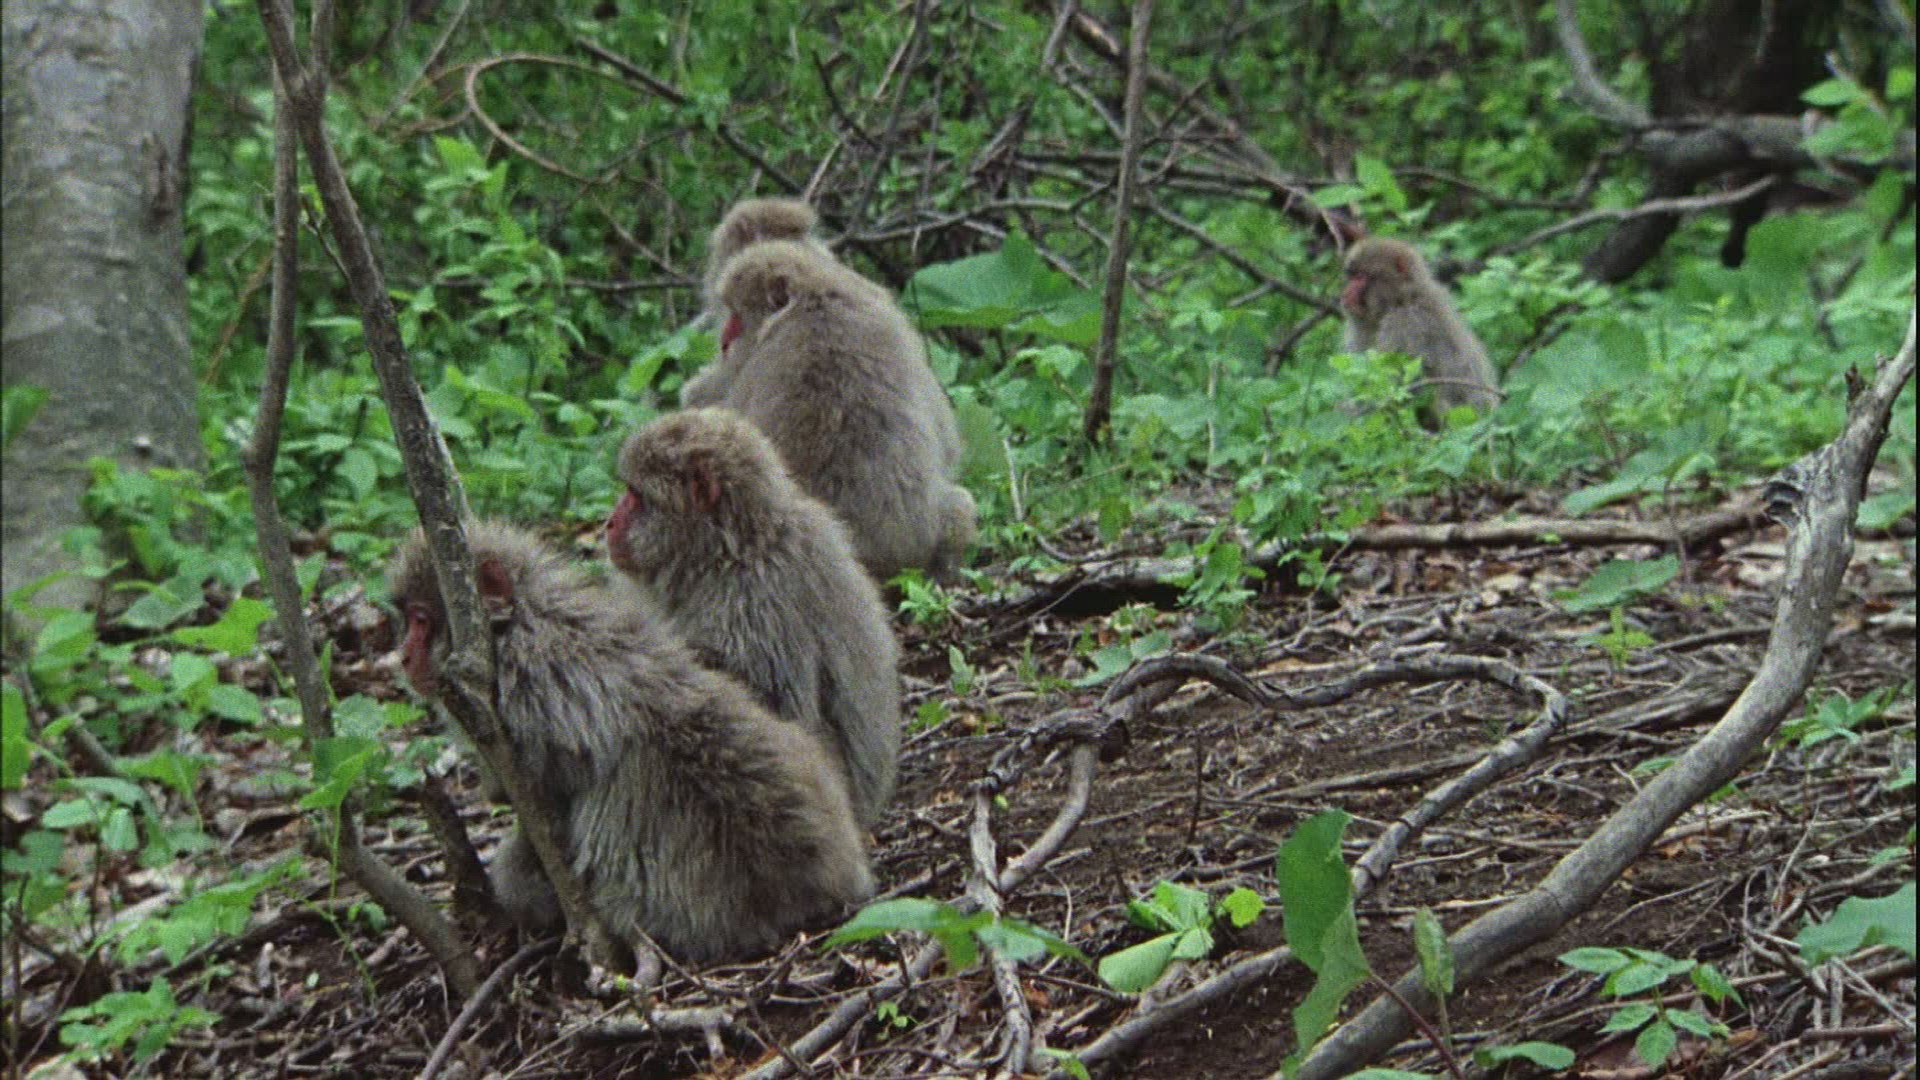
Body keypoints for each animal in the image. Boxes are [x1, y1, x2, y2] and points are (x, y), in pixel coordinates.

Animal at [388, 520, 874, 965]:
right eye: (408, 622)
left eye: (421, 621)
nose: (405, 656)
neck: (520, 619)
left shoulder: (518, 683)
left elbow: (542, 785)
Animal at [1340, 236, 1502, 420]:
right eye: (1351, 276)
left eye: (1360, 276)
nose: (1345, 294)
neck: (1402, 300)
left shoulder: (1405, 324)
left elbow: (1402, 387)